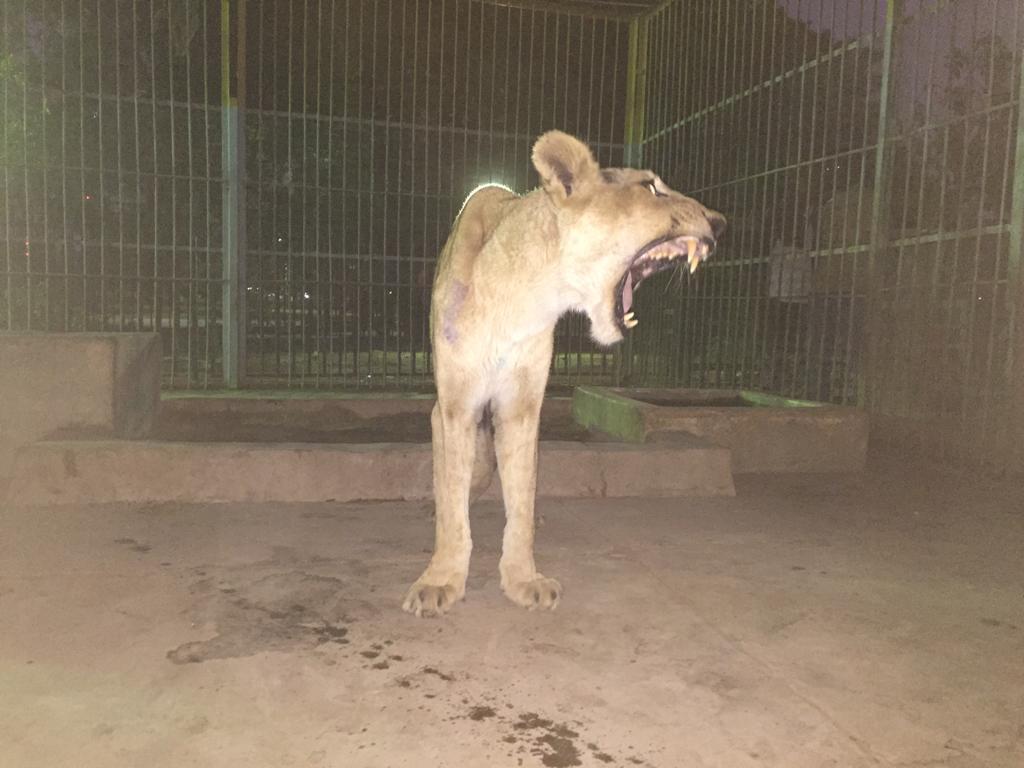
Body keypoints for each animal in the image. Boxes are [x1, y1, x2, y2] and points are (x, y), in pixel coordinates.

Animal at [402, 131, 725, 617]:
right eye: (651, 187)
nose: (720, 222)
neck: (526, 296)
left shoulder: (521, 408)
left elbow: (520, 496)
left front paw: (522, 578)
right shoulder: (456, 406)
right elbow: (455, 501)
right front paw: (441, 579)